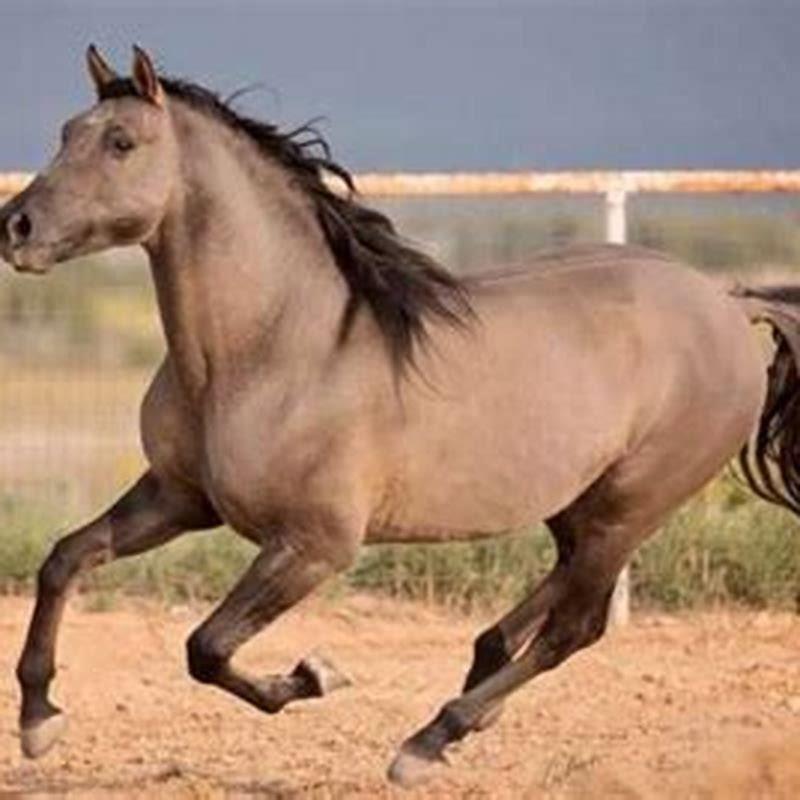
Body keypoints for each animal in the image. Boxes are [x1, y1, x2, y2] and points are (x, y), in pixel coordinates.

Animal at [1, 46, 798, 787]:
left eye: (121, 142)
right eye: (68, 131)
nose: (17, 226)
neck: (271, 348)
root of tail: (728, 306)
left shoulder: (316, 544)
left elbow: (207, 647)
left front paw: (314, 677)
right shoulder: (179, 497)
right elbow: (65, 558)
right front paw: (39, 721)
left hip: (629, 508)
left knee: (575, 625)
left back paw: (429, 740)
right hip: (580, 506)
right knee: (558, 598)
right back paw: (476, 688)